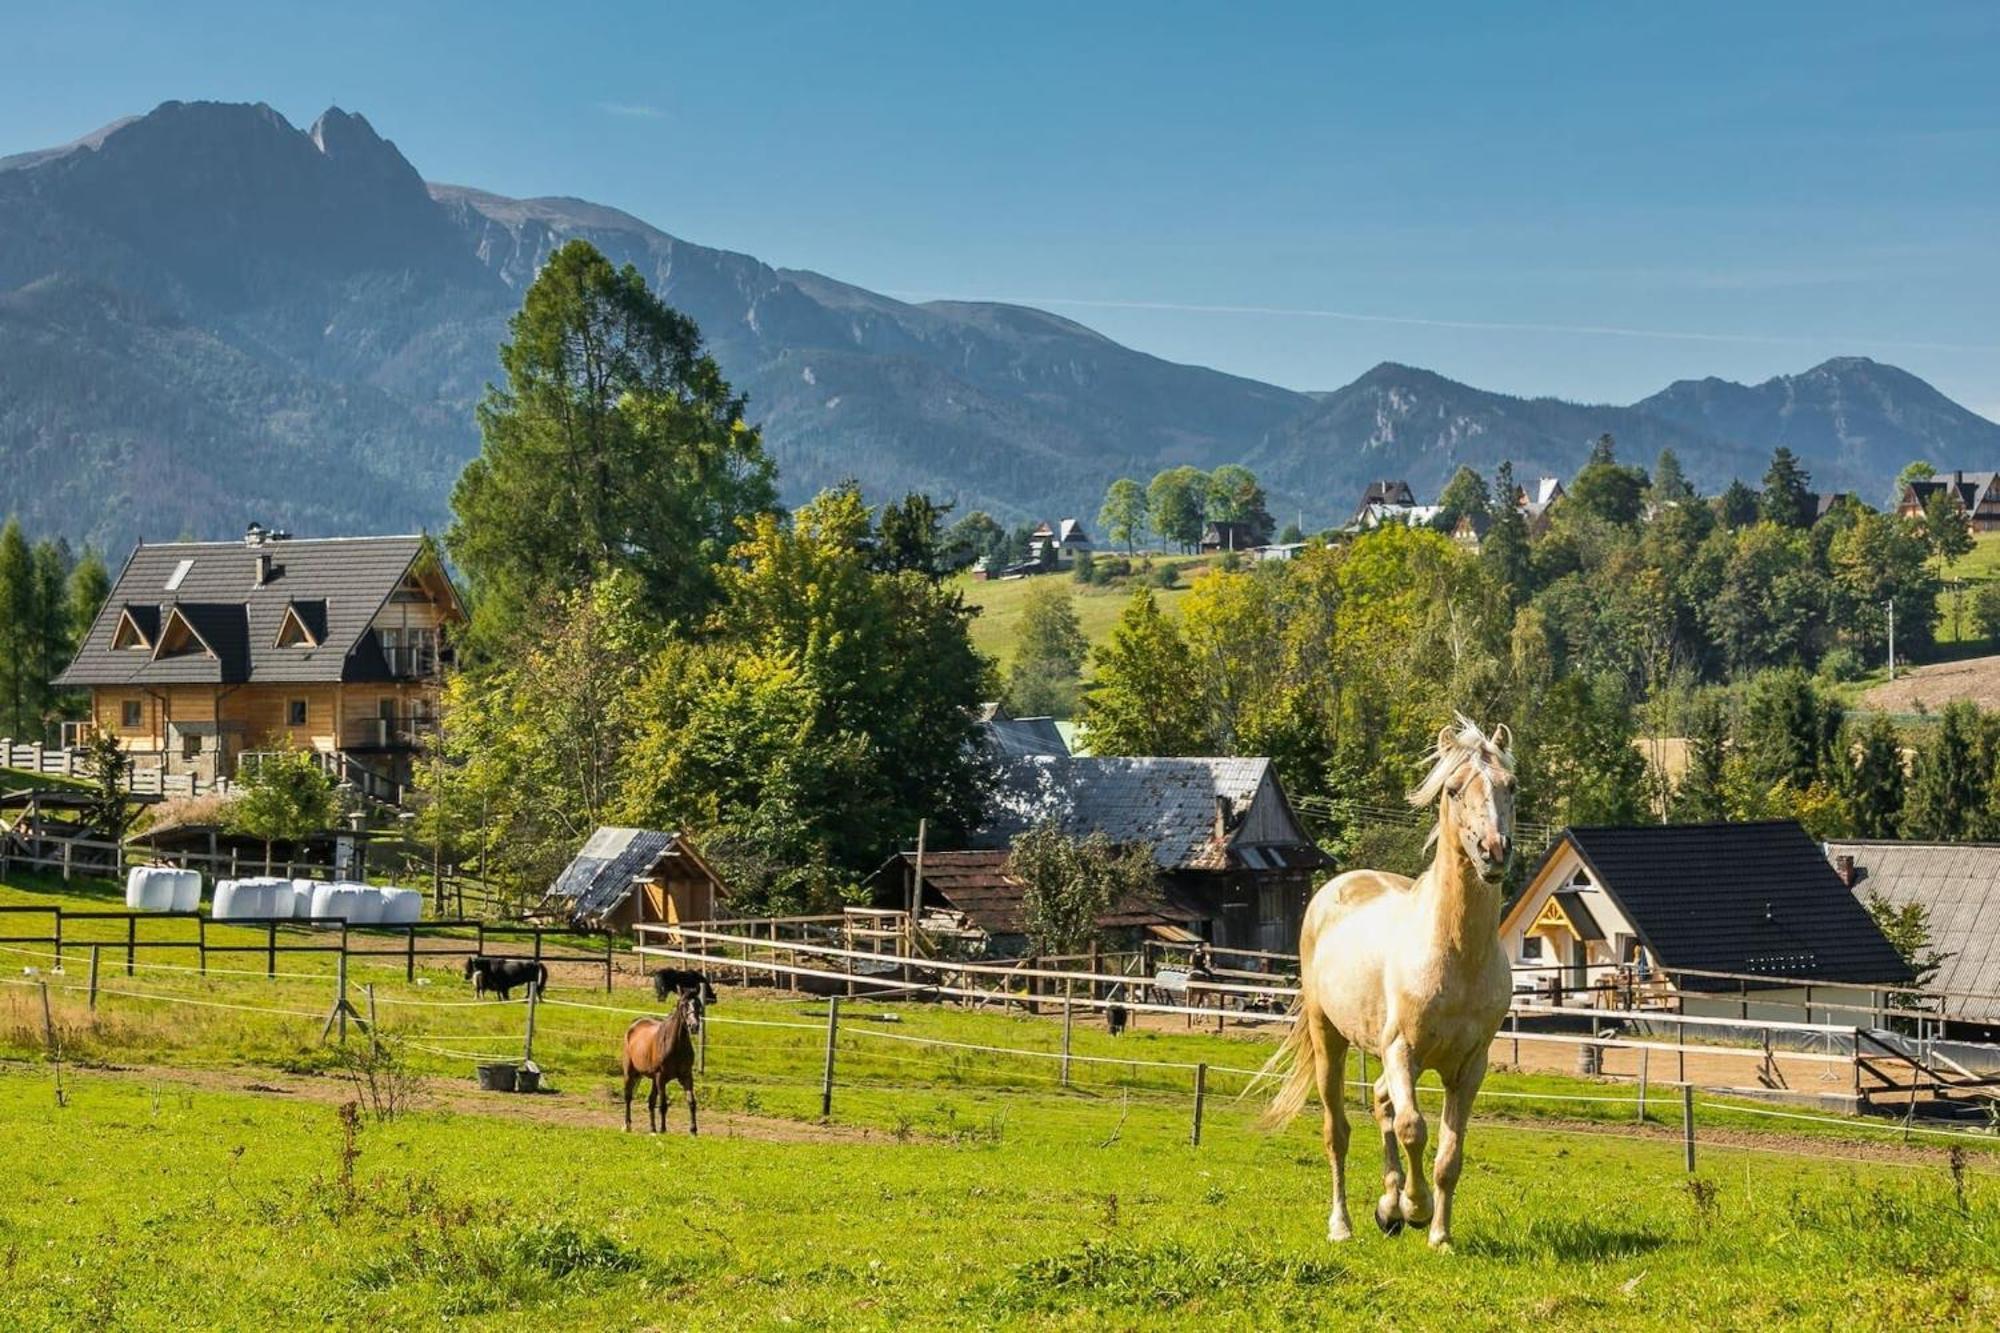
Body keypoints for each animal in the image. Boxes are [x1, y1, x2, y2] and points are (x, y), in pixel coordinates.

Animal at [624, 992, 704, 1128]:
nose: (694, 1026)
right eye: (684, 1005)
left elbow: (691, 1102)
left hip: (652, 1078)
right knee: (628, 1097)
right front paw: (663, 1129)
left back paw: (653, 1129)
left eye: (698, 1003)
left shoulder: (686, 1076)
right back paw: (627, 1126)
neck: (675, 1046)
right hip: (630, 1073)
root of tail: (634, 1025)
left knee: (650, 1101)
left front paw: (693, 1129)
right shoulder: (661, 1078)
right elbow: (662, 1105)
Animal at [1264, 716, 1512, 1248]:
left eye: (1511, 785)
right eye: (1455, 789)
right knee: (1339, 1132)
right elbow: (1414, 1128)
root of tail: (1338, 884)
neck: (1456, 955)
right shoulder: (1403, 1050)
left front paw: (1439, 1236)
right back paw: (1344, 1224)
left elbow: (1448, 1155)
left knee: (1381, 1102)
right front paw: (1416, 1209)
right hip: (1329, 1040)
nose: (1493, 852)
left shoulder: (1470, 1066)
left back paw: (1388, 1208)